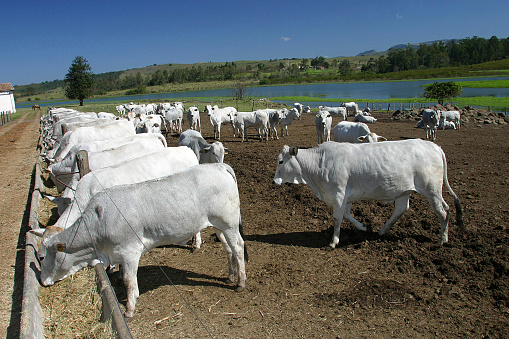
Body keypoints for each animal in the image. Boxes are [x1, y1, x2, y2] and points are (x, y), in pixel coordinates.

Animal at [31, 164, 246, 318]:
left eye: (42, 257)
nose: (42, 280)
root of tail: (219, 166)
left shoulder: (130, 251)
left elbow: (129, 281)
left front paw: (129, 308)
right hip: (218, 225)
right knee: (228, 248)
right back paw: (230, 275)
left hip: (229, 223)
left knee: (238, 247)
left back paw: (240, 281)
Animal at [272, 141, 462, 250]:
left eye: (281, 161)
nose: (274, 181)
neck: (319, 164)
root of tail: (434, 146)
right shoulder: (346, 197)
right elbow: (347, 215)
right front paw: (363, 227)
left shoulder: (339, 195)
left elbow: (337, 219)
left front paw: (333, 241)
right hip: (404, 190)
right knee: (401, 209)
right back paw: (382, 231)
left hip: (432, 189)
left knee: (443, 211)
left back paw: (442, 239)